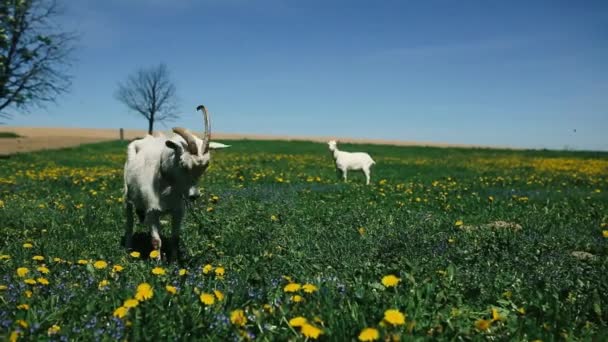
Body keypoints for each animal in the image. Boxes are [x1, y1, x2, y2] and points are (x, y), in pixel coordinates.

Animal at [123, 105, 228, 260]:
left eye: (206, 165)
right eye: (183, 163)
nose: (194, 195)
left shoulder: (178, 212)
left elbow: (175, 238)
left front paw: (173, 262)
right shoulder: (151, 211)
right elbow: (156, 241)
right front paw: (157, 263)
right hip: (128, 198)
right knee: (129, 224)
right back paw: (128, 249)